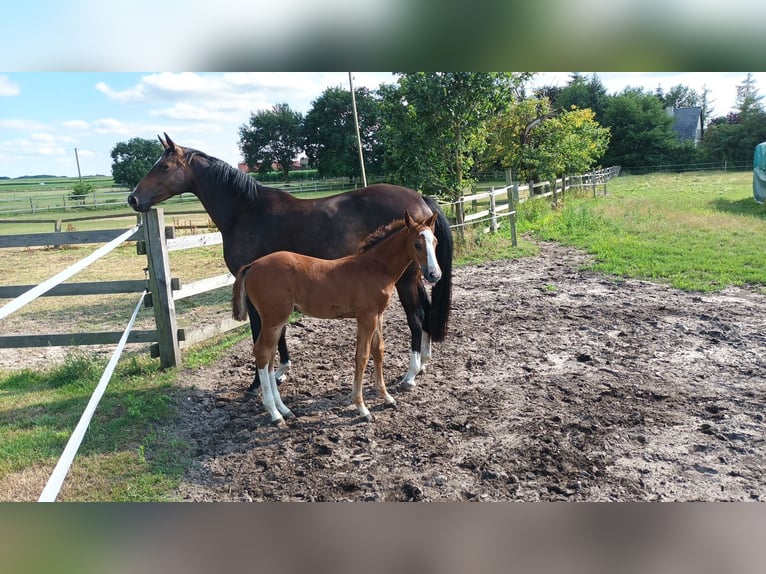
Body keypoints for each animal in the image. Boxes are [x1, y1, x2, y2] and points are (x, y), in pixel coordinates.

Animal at [127, 134, 453, 392]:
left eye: (163, 167)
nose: (133, 198)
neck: (246, 211)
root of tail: (421, 200)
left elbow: (260, 331)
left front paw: (260, 381)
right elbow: (278, 330)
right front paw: (280, 370)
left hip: (406, 279)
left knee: (416, 318)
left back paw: (410, 374)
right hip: (416, 277)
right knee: (425, 312)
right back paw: (424, 363)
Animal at [231, 211, 441, 425]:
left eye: (435, 242)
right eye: (417, 244)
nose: (435, 274)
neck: (375, 268)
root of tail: (252, 265)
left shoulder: (378, 316)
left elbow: (378, 351)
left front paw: (387, 398)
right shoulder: (366, 317)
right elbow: (362, 356)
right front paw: (362, 408)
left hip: (276, 321)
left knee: (270, 355)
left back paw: (284, 410)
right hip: (273, 320)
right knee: (262, 353)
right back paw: (275, 414)